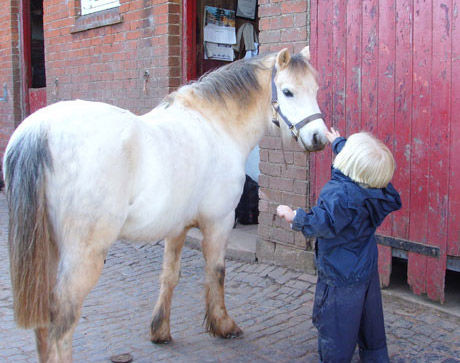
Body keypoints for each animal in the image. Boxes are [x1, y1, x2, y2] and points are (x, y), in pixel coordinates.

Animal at [3, 47, 328, 362]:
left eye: (314, 89)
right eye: (287, 92)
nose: (319, 138)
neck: (216, 125)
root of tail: (38, 131)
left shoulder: (177, 228)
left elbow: (169, 276)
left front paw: (160, 330)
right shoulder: (219, 221)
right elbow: (216, 271)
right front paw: (223, 325)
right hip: (83, 255)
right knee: (62, 320)